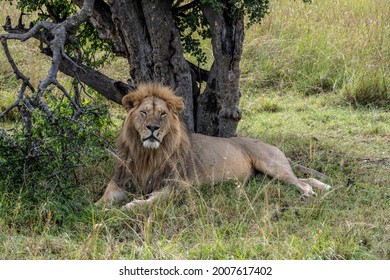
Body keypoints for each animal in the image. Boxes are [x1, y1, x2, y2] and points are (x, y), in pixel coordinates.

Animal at [96, 83, 330, 210]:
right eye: (144, 112)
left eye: (162, 114)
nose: (153, 128)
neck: (147, 154)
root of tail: (271, 145)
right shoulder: (121, 179)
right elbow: (106, 196)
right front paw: (96, 207)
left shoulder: (176, 186)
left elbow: (150, 201)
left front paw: (131, 205)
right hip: (267, 174)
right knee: (305, 179)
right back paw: (324, 187)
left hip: (270, 164)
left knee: (301, 182)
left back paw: (308, 194)